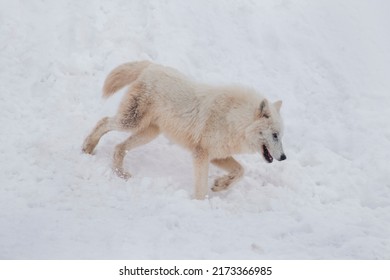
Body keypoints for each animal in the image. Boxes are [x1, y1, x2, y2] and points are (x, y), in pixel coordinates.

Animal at [82, 61, 284, 199]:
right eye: (275, 135)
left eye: (281, 136)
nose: (283, 157)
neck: (233, 119)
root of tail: (151, 66)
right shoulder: (201, 154)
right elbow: (201, 187)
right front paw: (200, 204)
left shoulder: (217, 156)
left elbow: (241, 171)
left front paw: (220, 185)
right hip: (130, 122)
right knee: (104, 122)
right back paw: (87, 148)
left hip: (148, 133)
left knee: (119, 147)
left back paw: (120, 174)